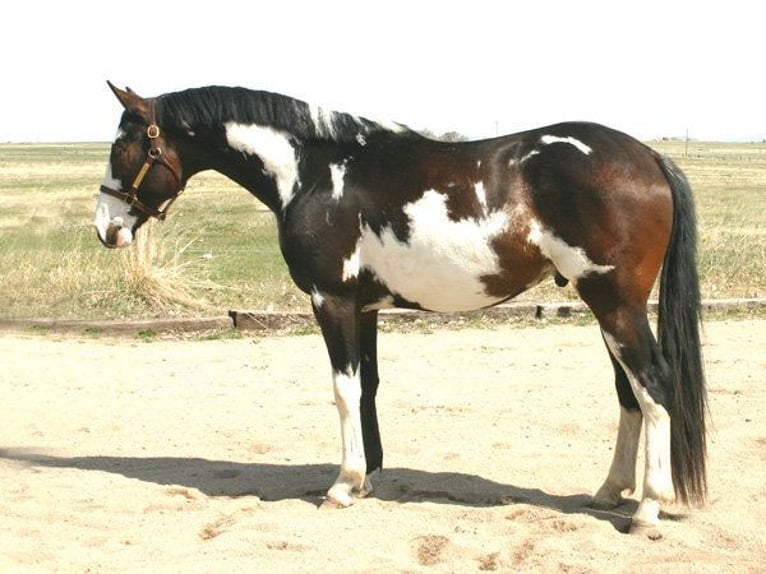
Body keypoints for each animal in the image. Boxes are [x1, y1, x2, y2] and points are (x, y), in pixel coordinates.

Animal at [94, 81, 708, 536]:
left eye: (123, 146)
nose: (105, 229)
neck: (317, 171)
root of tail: (649, 156)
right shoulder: (364, 308)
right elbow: (367, 386)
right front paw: (368, 476)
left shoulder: (331, 301)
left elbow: (343, 389)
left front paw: (342, 485)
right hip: (606, 307)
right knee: (629, 393)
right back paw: (610, 492)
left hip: (616, 305)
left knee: (654, 385)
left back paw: (647, 510)